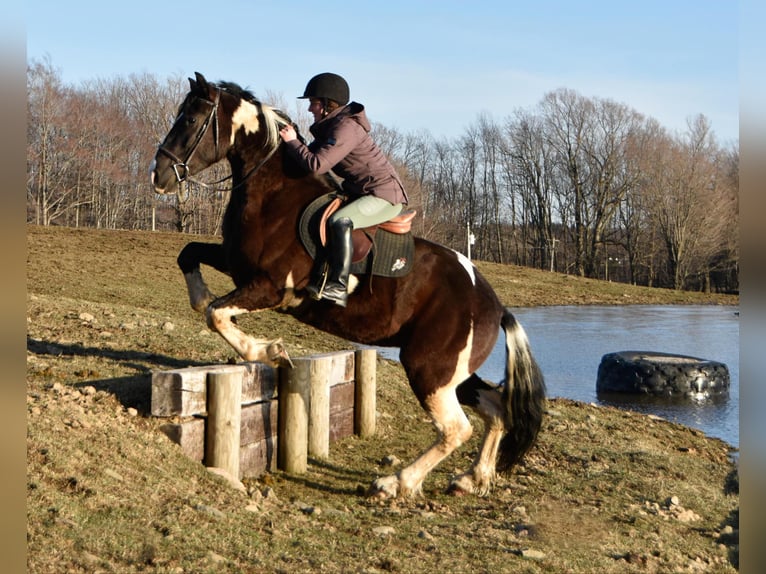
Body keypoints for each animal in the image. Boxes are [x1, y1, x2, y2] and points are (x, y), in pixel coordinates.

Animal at [150, 72, 545, 499]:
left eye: (191, 120)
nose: (158, 175)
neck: (275, 194)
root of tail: (493, 303)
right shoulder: (237, 266)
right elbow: (191, 262)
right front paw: (210, 301)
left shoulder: (271, 287)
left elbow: (217, 314)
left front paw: (269, 351)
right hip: (450, 371)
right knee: (496, 409)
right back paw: (472, 479)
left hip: (427, 367)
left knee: (456, 428)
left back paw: (396, 483)